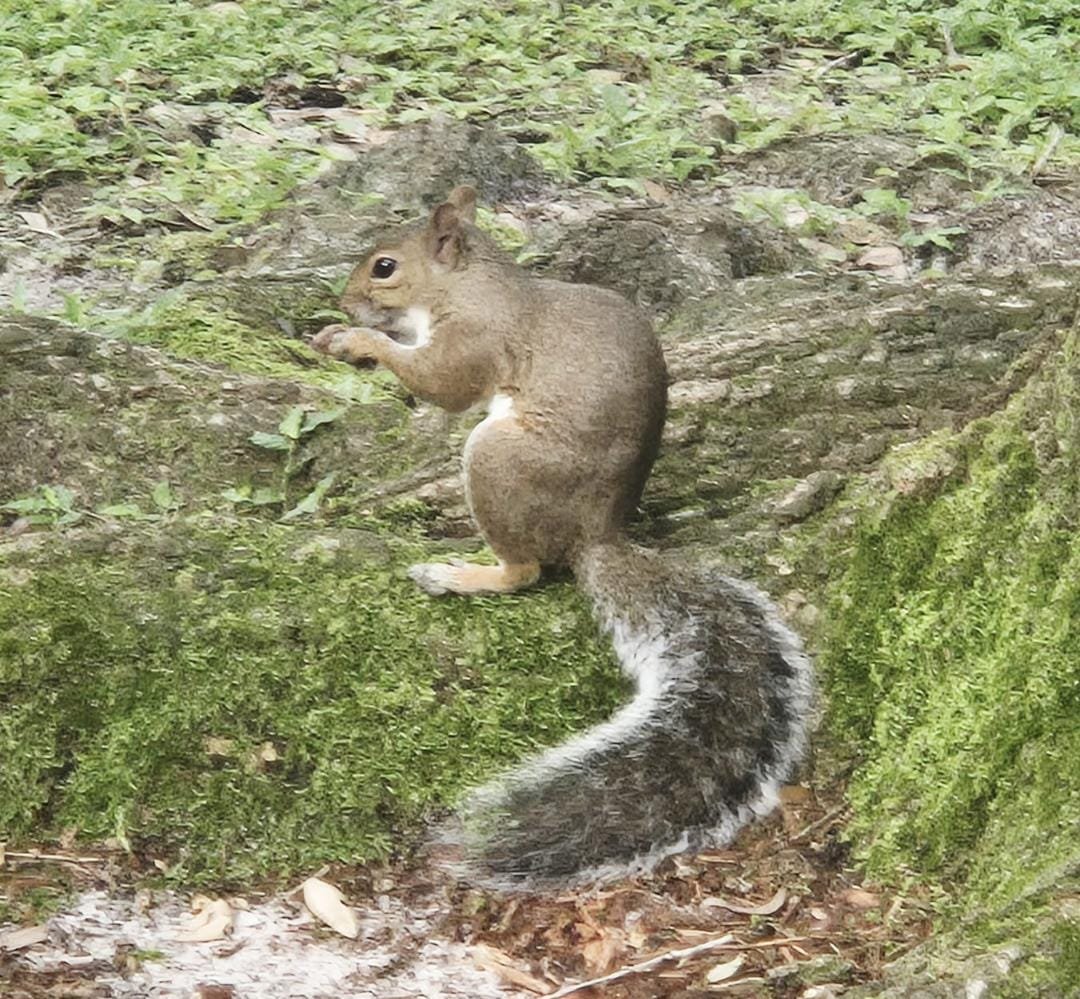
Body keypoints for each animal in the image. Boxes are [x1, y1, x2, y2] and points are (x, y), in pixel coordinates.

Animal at [311, 185, 813, 889]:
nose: (343, 303)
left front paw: (361, 339)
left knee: (525, 571)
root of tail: (595, 535)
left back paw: (462, 575)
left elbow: (444, 385)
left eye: (384, 267)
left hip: (498, 461)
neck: (467, 284)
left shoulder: (477, 337)